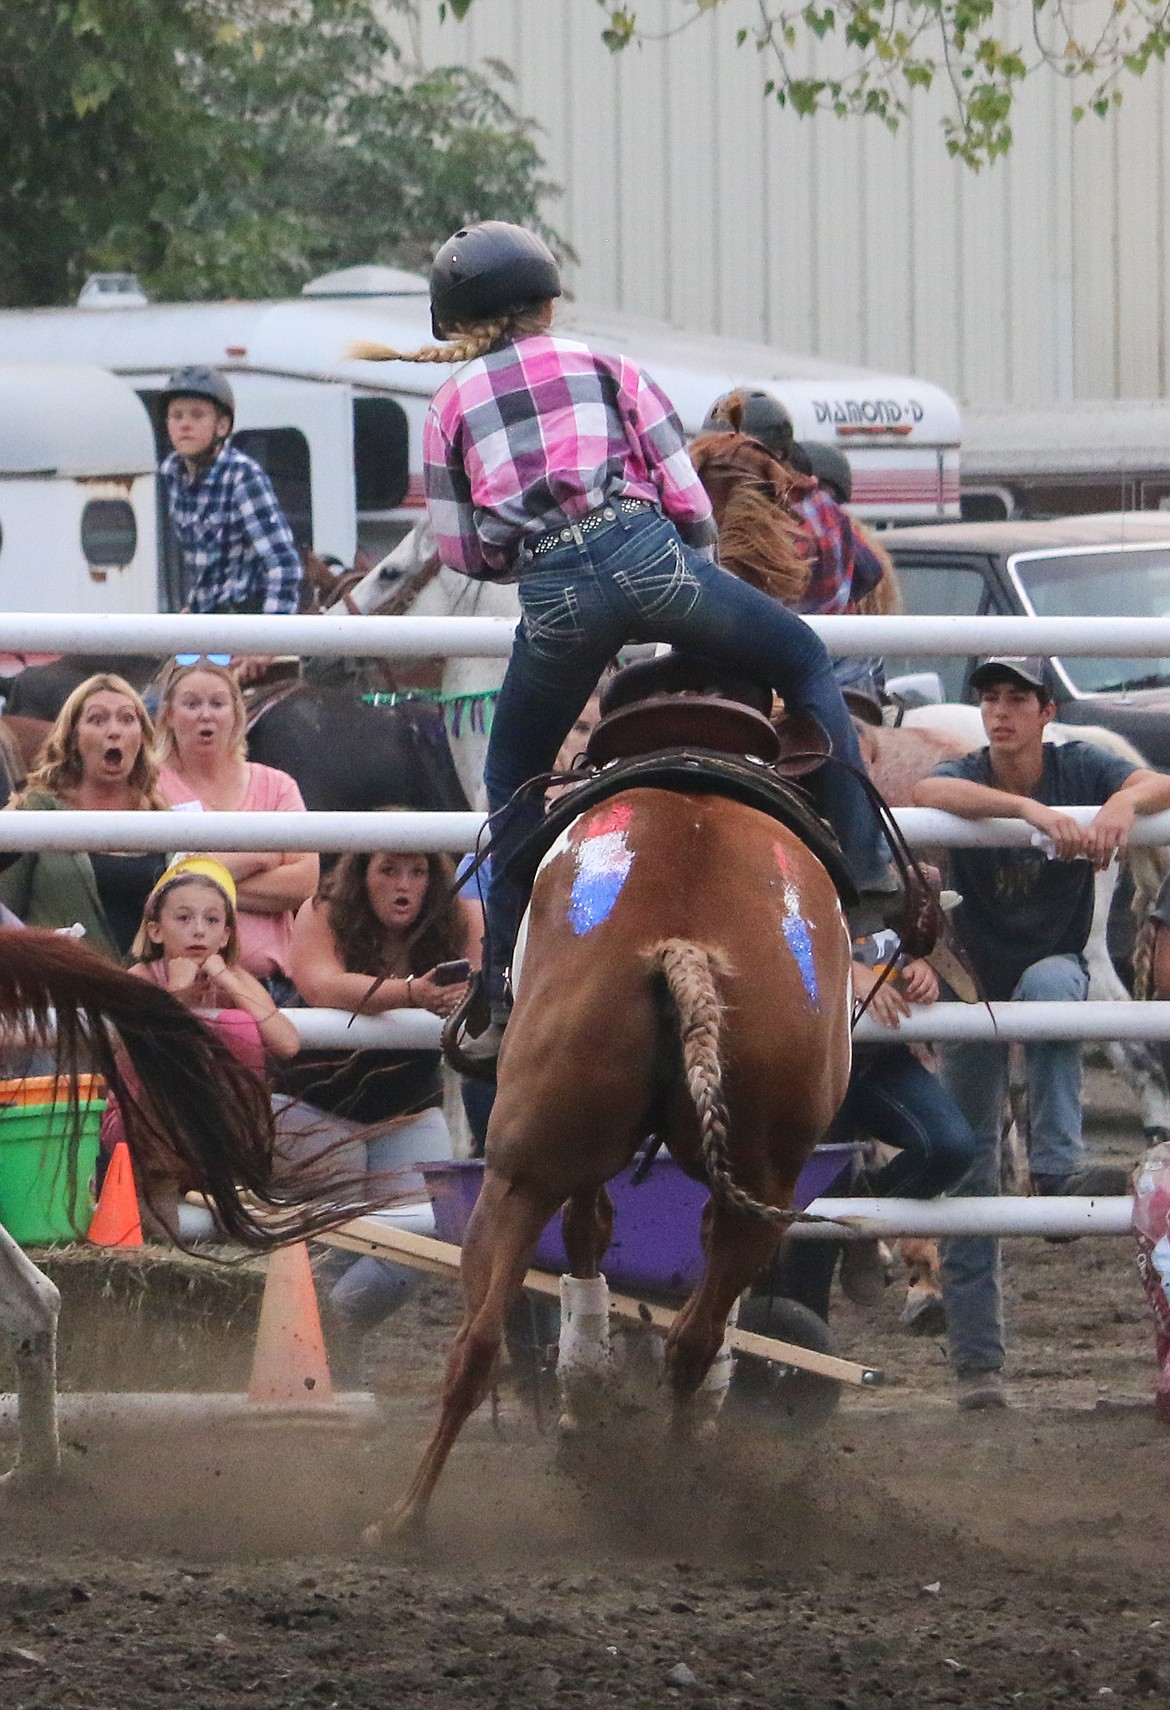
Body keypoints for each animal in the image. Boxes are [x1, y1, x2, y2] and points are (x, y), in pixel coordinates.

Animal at [381, 769, 848, 1532]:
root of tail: (682, 945)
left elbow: (588, 1231)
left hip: (519, 1172)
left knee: (484, 1338)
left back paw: (409, 1515)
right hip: (760, 1184)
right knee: (691, 1338)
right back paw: (671, 1486)